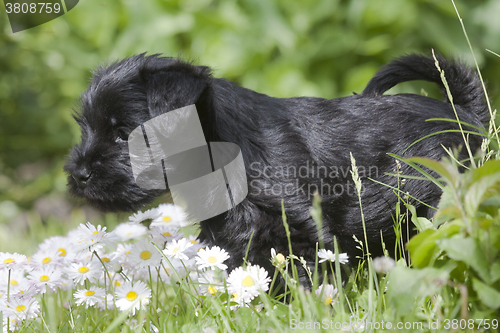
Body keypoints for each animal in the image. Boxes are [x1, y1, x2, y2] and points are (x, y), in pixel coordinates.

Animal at [64, 52, 486, 282]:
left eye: (124, 134)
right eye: (85, 127)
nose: (78, 175)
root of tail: (465, 114)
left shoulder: (299, 229)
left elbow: (306, 275)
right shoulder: (229, 236)